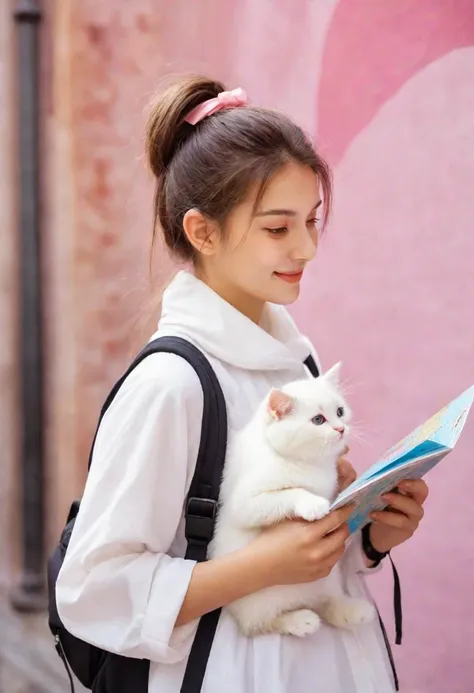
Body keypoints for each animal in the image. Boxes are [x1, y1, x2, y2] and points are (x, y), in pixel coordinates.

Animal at [209, 362, 376, 636]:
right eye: (318, 420)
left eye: (340, 411)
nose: (341, 429)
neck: (306, 463)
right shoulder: (244, 502)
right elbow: (290, 492)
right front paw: (314, 504)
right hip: (255, 600)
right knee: (259, 623)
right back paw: (300, 621)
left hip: (328, 580)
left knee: (327, 602)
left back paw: (352, 611)